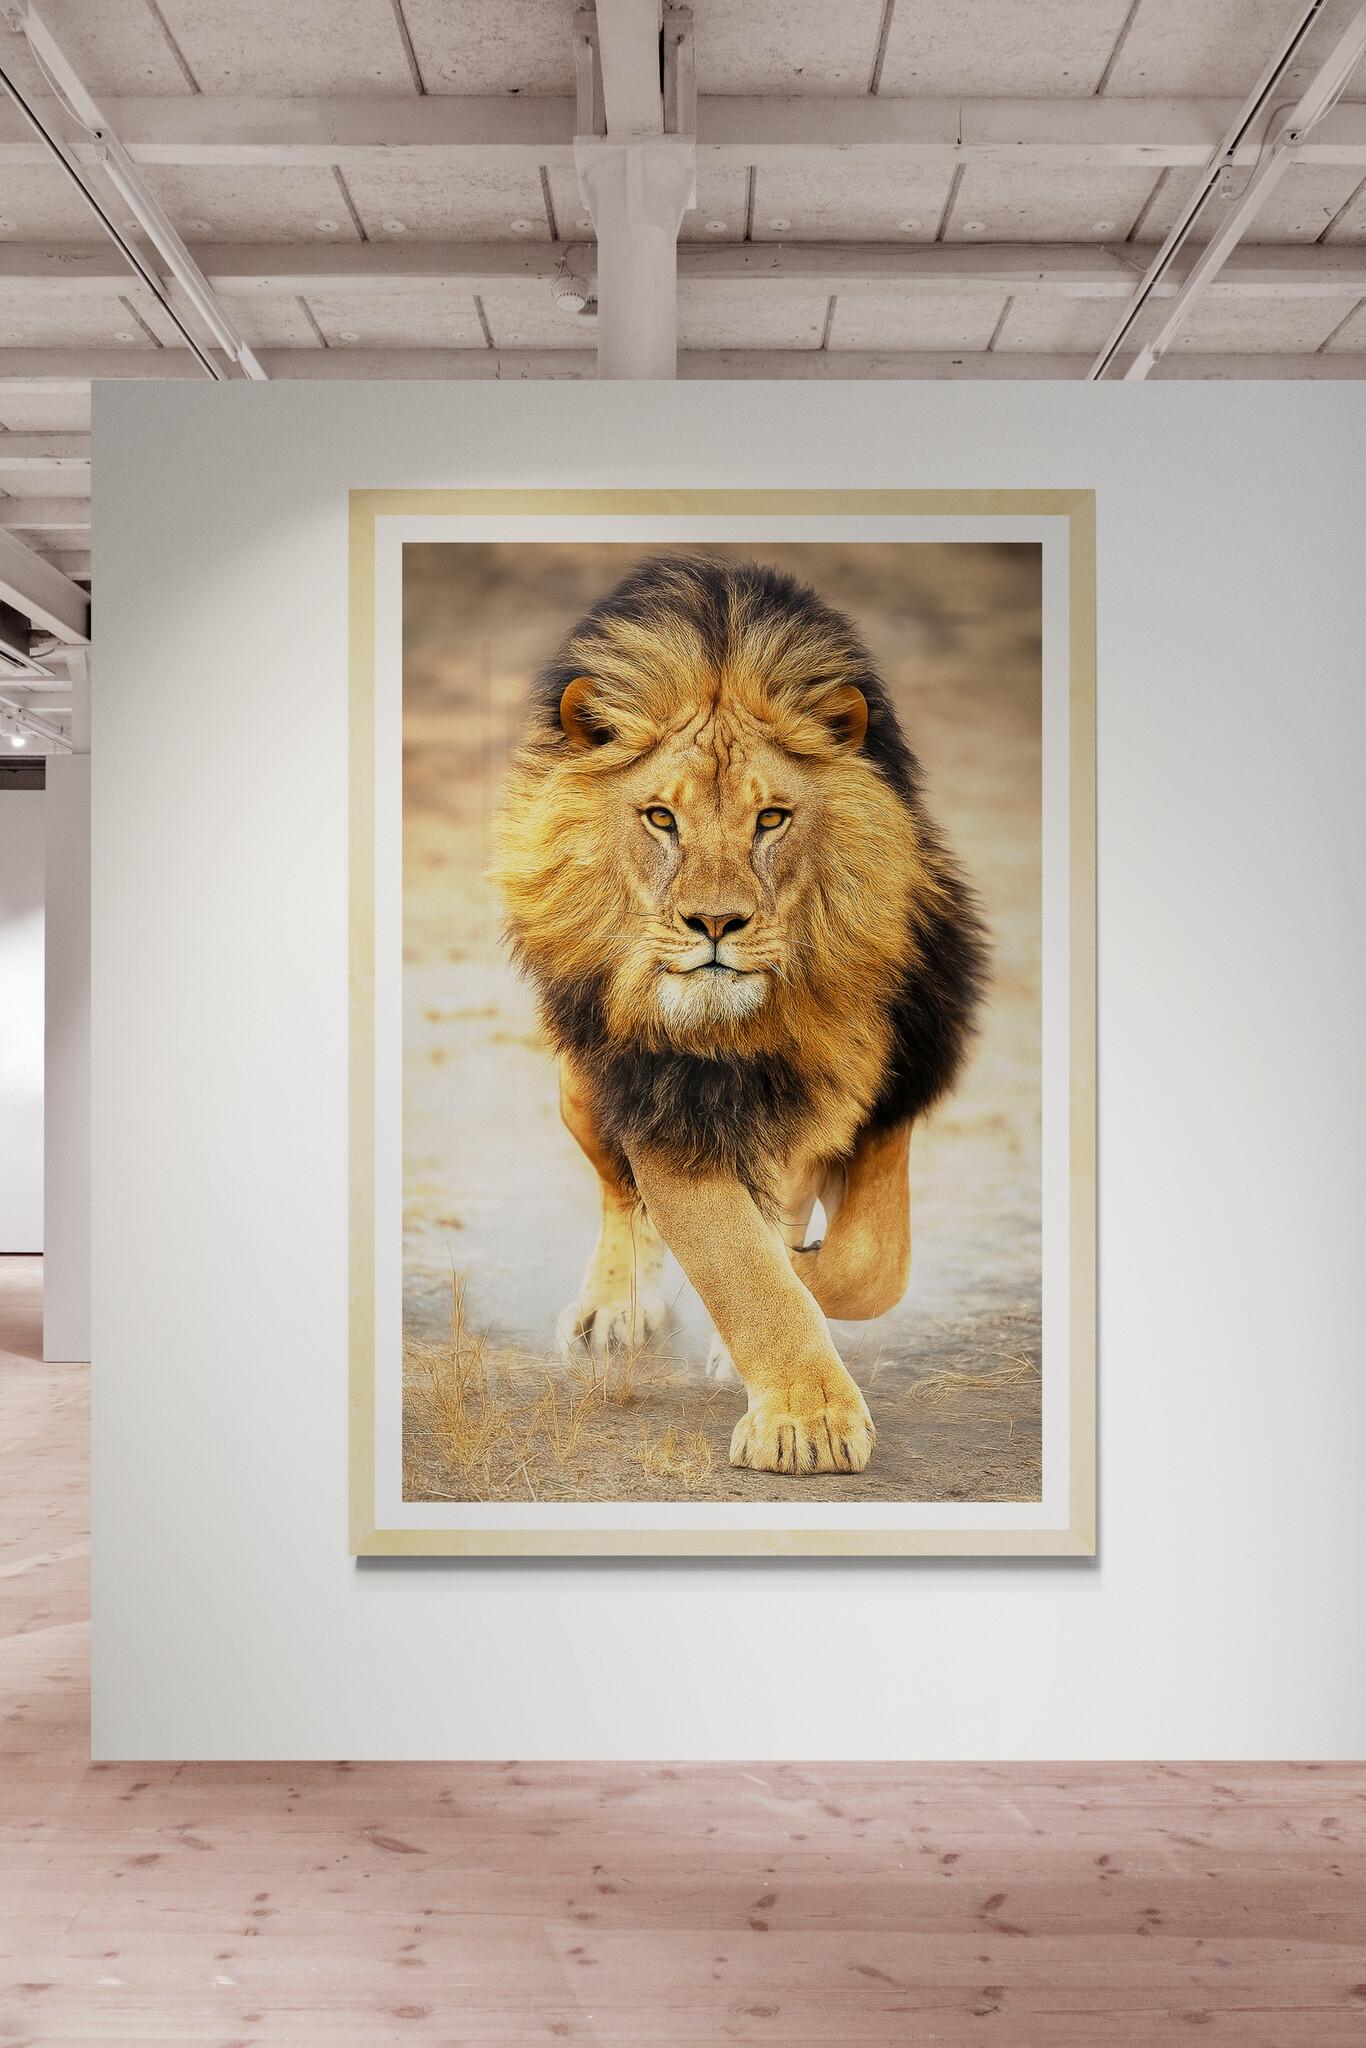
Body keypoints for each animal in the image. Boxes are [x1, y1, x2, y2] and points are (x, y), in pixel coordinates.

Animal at [491, 552, 986, 1476]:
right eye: (660, 817)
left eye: (772, 818)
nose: (715, 924)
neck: (761, 1024)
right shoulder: (663, 1101)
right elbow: (735, 1261)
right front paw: (807, 1421)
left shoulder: (895, 1090)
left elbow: (867, 1264)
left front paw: (794, 1335)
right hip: (581, 1087)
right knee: (621, 1196)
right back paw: (614, 1312)